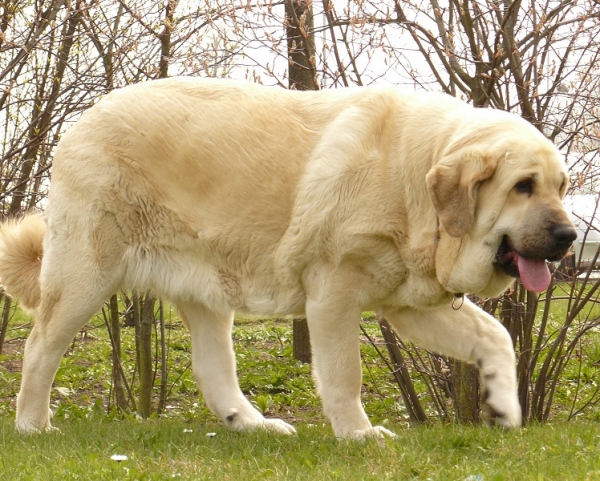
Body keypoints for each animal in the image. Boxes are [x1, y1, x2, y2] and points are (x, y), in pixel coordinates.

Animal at [0, 78, 576, 438]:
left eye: (562, 187)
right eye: (523, 186)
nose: (570, 235)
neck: (414, 176)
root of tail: (82, 122)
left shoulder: (409, 306)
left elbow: (495, 337)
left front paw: (504, 406)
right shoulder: (334, 295)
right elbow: (345, 374)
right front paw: (358, 435)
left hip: (207, 290)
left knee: (213, 370)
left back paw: (252, 424)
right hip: (84, 278)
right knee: (39, 347)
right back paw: (32, 425)